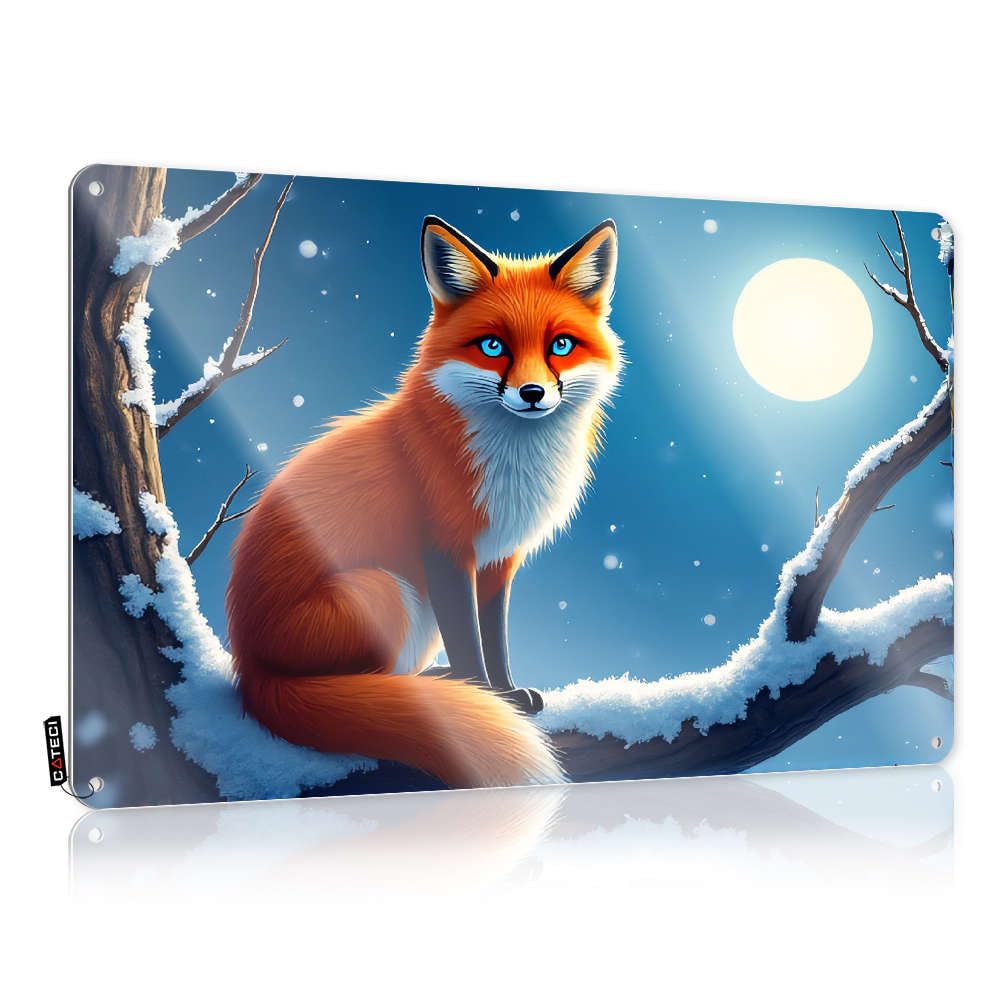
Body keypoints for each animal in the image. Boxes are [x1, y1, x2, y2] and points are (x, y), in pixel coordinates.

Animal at [226, 215, 622, 789]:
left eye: (562, 345)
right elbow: (469, 639)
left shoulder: (499, 558)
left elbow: (494, 635)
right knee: (358, 687)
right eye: (493, 347)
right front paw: (486, 696)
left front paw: (506, 691)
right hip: (386, 591)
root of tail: (248, 670)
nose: (531, 394)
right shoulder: (446, 549)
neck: (512, 468)